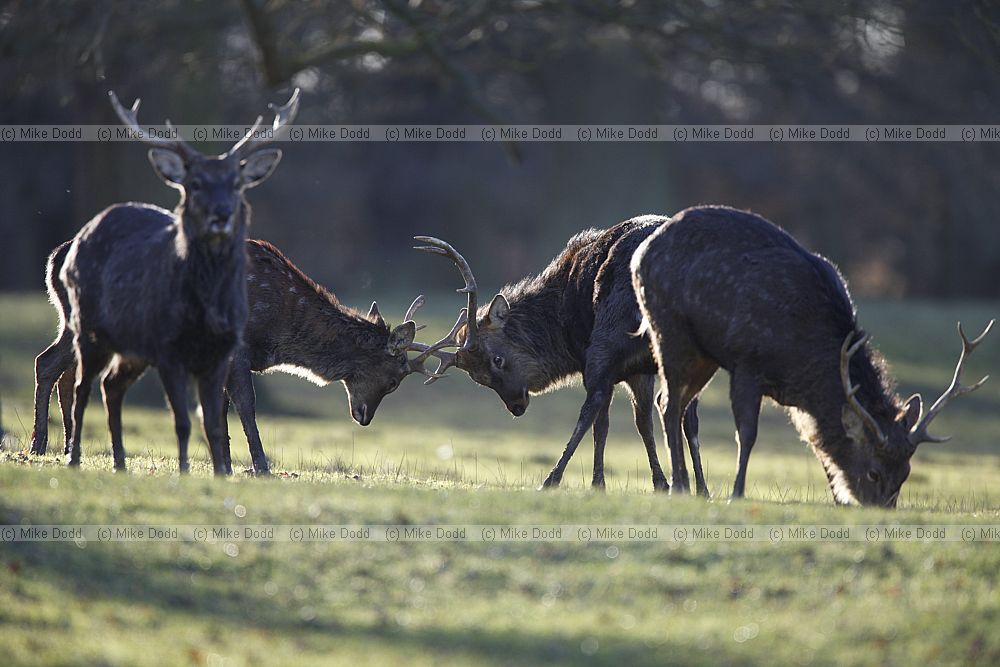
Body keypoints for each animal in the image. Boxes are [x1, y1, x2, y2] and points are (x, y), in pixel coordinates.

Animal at [29, 88, 299, 475]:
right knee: (68, 375)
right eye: (194, 183)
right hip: (85, 324)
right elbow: (184, 418)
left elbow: (214, 418)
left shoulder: (223, 349)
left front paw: (222, 471)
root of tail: (57, 256)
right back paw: (57, 449)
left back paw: (104, 456)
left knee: (91, 379)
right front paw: (191, 470)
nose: (222, 215)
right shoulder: (170, 349)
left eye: (237, 183)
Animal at [411, 225, 707, 494]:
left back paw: (553, 479)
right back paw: (699, 488)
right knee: (687, 414)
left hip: (607, 340)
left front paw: (601, 483)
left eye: (498, 359)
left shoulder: (603, 362)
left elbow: (604, 423)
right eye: (478, 378)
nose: (516, 406)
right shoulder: (640, 369)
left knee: (592, 406)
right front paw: (661, 483)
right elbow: (643, 422)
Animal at [630, 205, 993, 507]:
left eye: (905, 472)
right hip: (668, 329)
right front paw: (737, 492)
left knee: (670, 402)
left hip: (703, 355)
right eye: (873, 471)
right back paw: (678, 486)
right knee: (669, 403)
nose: (882, 509)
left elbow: (816, 442)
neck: (806, 360)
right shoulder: (748, 361)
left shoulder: (797, 397)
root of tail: (640, 255)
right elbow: (747, 433)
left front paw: (838, 498)